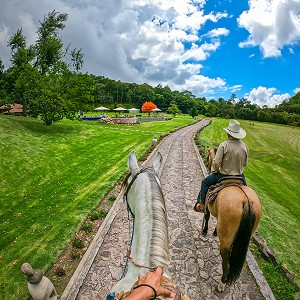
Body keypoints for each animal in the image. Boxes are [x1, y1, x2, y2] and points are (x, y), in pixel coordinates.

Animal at [202, 161, 262, 292]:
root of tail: (246, 201)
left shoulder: (208, 206)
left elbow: (207, 217)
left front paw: (204, 231)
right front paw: (214, 232)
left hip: (226, 239)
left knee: (226, 259)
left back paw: (222, 283)